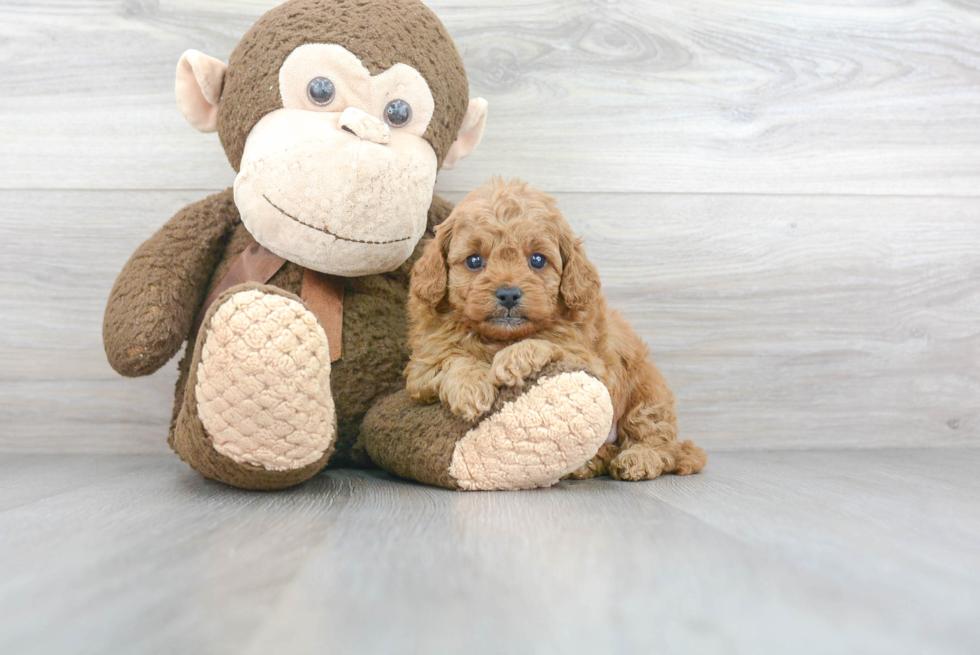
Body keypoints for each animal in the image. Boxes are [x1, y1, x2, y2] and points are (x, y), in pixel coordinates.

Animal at [406, 179, 704, 482]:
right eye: (474, 261)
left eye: (537, 260)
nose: (509, 294)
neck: (501, 338)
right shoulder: (422, 368)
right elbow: (452, 359)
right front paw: (470, 388)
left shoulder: (592, 361)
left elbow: (550, 342)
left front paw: (514, 359)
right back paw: (589, 463)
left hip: (646, 390)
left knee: (660, 440)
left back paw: (639, 458)